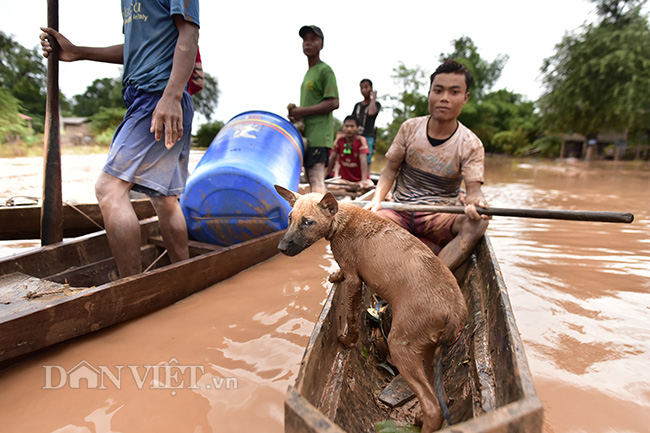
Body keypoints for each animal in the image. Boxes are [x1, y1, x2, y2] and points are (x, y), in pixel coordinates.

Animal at [274, 184, 466, 430]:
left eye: (308, 222)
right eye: (290, 218)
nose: (280, 248)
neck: (340, 221)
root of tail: (455, 312)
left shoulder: (355, 279)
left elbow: (352, 317)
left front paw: (348, 341)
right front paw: (335, 275)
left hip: (402, 345)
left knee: (433, 407)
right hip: (429, 351)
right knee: (441, 397)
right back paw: (419, 417)